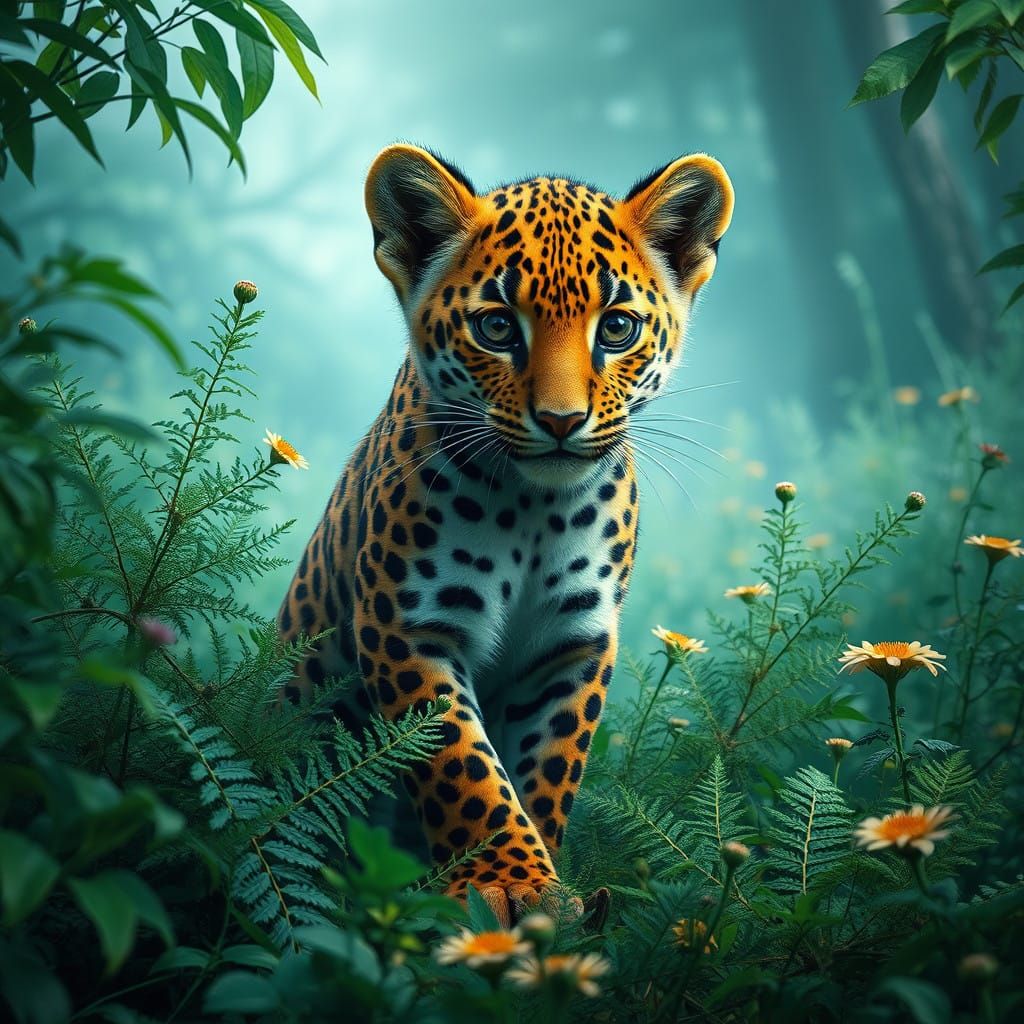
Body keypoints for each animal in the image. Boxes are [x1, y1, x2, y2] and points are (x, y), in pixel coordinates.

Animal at [278, 143, 734, 926]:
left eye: (617, 328)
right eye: (496, 328)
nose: (560, 420)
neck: (534, 511)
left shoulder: (571, 644)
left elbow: (546, 769)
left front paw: (545, 891)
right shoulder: (407, 626)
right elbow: (462, 766)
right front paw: (506, 881)